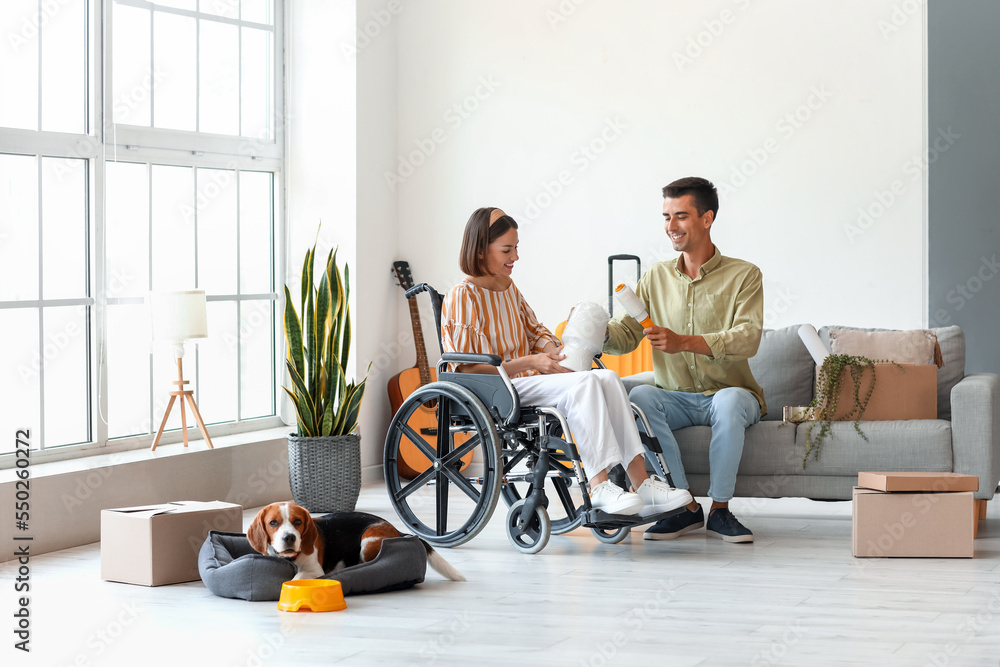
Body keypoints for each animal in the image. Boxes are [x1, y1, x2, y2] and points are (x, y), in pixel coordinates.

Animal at [246, 504, 464, 580]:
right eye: (273, 523)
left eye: (297, 522)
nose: (289, 537)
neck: (291, 558)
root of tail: (396, 530)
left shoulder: (315, 570)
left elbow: (297, 577)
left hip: (368, 540)